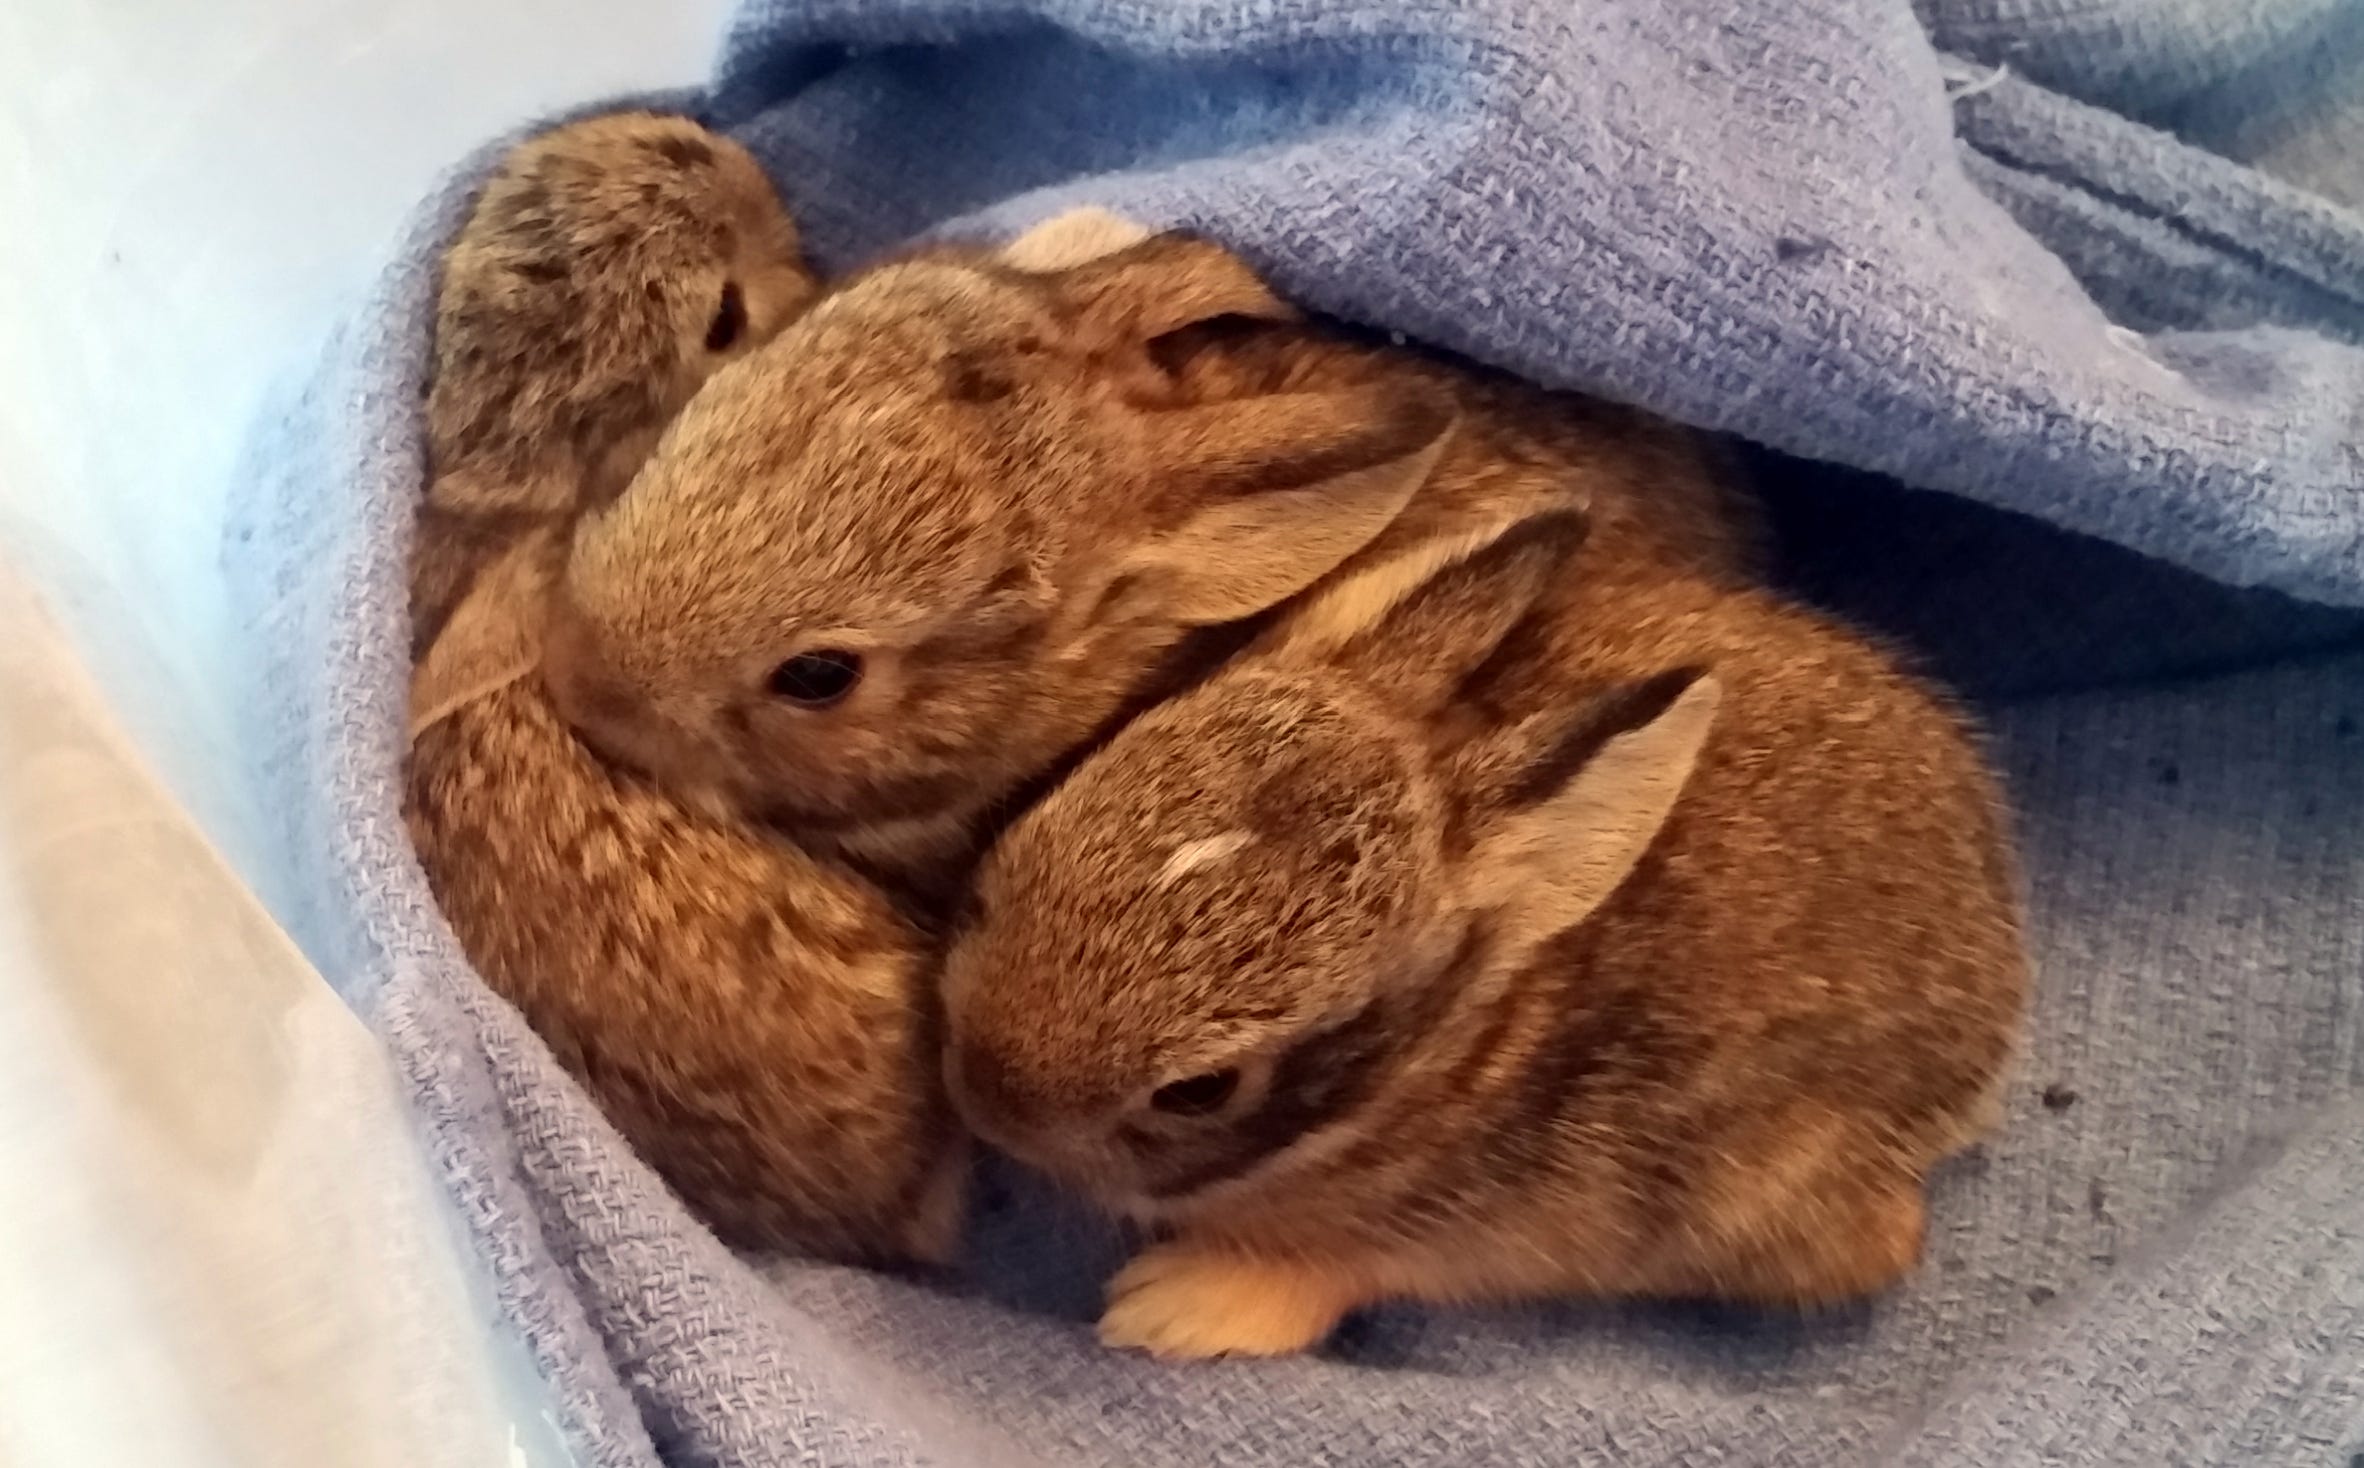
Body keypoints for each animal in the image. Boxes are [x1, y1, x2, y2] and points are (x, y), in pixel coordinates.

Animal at [937, 504, 2030, 1359]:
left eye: (1201, 1089)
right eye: (999, 874)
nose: (984, 1100)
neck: (1443, 1053)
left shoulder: (1495, 1225)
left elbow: (1359, 1266)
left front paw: (1175, 1307)